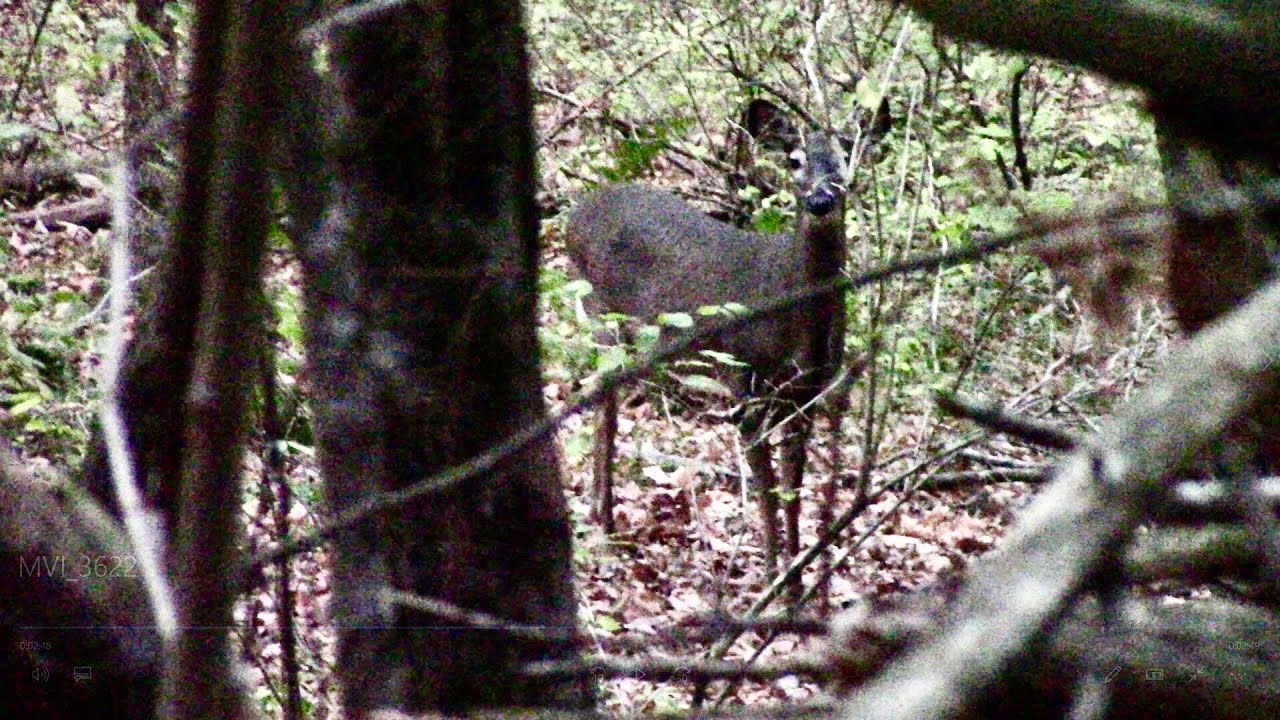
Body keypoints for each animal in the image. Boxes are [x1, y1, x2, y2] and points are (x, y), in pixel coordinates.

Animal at [564, 97, 890, 569]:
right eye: (794, 160)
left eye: (847, 156)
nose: (820, 199)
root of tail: (576, 212)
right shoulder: (742, 380)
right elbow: (767, 493)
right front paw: (772, 572)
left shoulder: (807, 392)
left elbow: (793, 492)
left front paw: (795, 569)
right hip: (601, 317)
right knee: (602, 409)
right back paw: (604, 525)